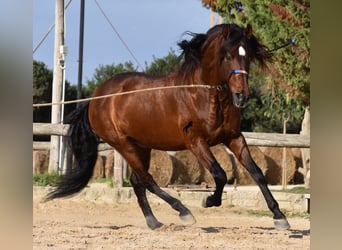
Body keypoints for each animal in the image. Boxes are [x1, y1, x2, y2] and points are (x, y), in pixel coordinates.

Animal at [46, 23, 292, 230]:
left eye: (247, 56)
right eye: (228, 56)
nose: (242, 96)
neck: (204, 94)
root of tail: (96, 98)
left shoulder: (234, 137)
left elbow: (257, 173)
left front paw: (280, 217)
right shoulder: (196, 142)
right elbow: (220, 174)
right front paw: (209, 200)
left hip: (142, 146)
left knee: (138, 182)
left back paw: (154, 222)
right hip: (123, 144)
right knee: (147, 180)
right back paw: (183, 212)